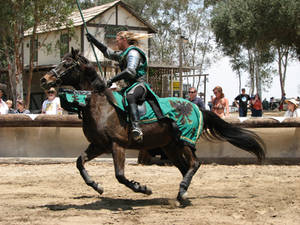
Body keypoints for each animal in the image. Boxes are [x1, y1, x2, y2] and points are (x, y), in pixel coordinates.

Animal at [39, 48, 264, 204]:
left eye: (67, 63)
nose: (44, 79)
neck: (101, 105)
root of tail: (197, 107)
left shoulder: (116, 145)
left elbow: (120, 175)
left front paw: (142, 188)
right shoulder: (99, 145)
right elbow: (79, 162)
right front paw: (97, 186)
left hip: (184, 142)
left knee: (195, 164)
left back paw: (183, 191)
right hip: (170, 147)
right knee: (185, 168)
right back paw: (182, 193)